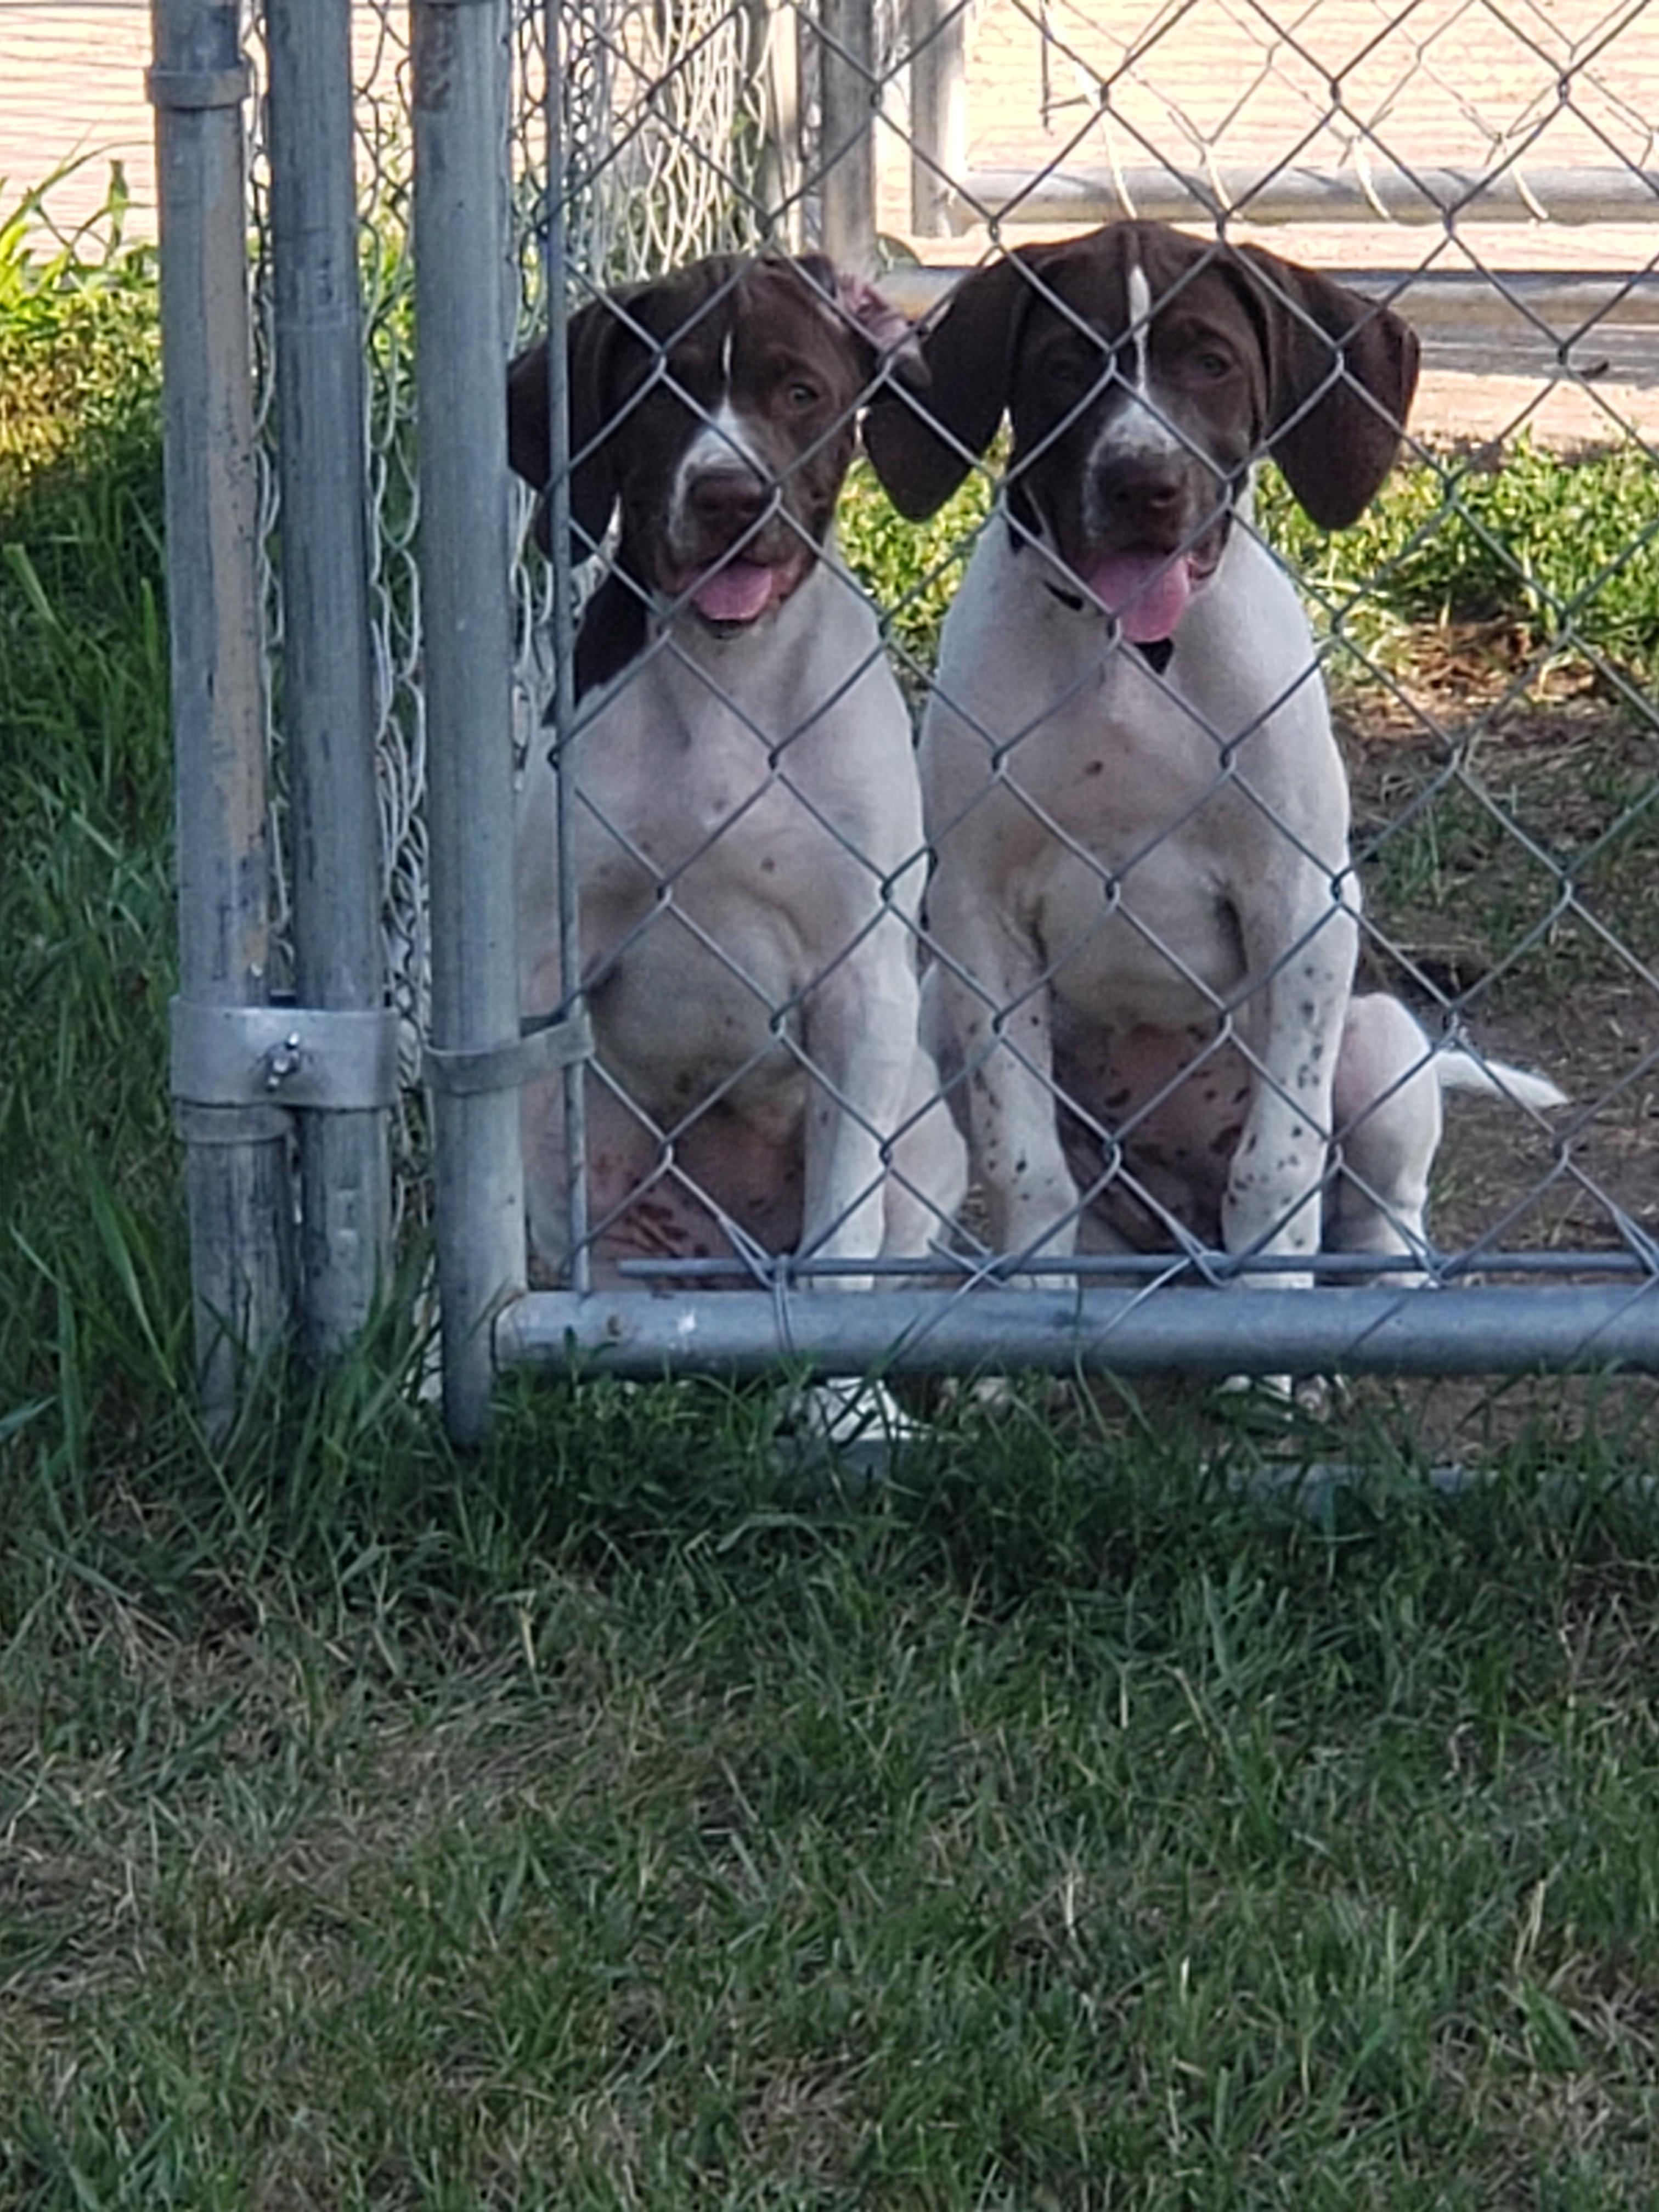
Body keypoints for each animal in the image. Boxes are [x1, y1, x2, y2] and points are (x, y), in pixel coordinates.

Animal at [507, 253, 965, 1315]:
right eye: (655, 391)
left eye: (800, 394)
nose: (728, 495)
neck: (728, 674)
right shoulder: (546, 963)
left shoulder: (860, 981)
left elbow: (843, 1231)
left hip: (924, 1134)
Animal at [864, 222, 1563, 1289]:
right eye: (1065, 364)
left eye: (1212, 363)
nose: (1142, 484)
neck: (1129, 655)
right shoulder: (979, 915)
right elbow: (1025, 1168)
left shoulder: (1300, 902)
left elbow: (1275, 1173)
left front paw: (1273, 1330)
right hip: (946, 1012)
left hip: (1378, 1039)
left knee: (1379, 1211)